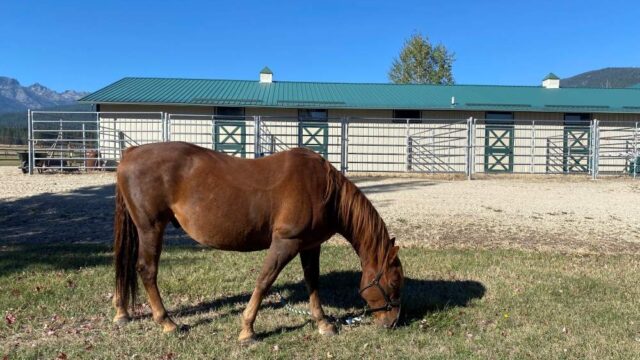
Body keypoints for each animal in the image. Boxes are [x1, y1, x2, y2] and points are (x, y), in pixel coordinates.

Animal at [114, 141, 404, 344]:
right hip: (151, 228)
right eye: (394, 283)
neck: (325, 189)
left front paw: (323, 324)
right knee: (147, 270)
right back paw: (167, 323)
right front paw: (247, 331)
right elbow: (264, 281)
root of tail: (130, 153)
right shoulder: (286, 243)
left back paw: (122, 312)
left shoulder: (310, 245)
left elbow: (313, 282)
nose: (392, 322)